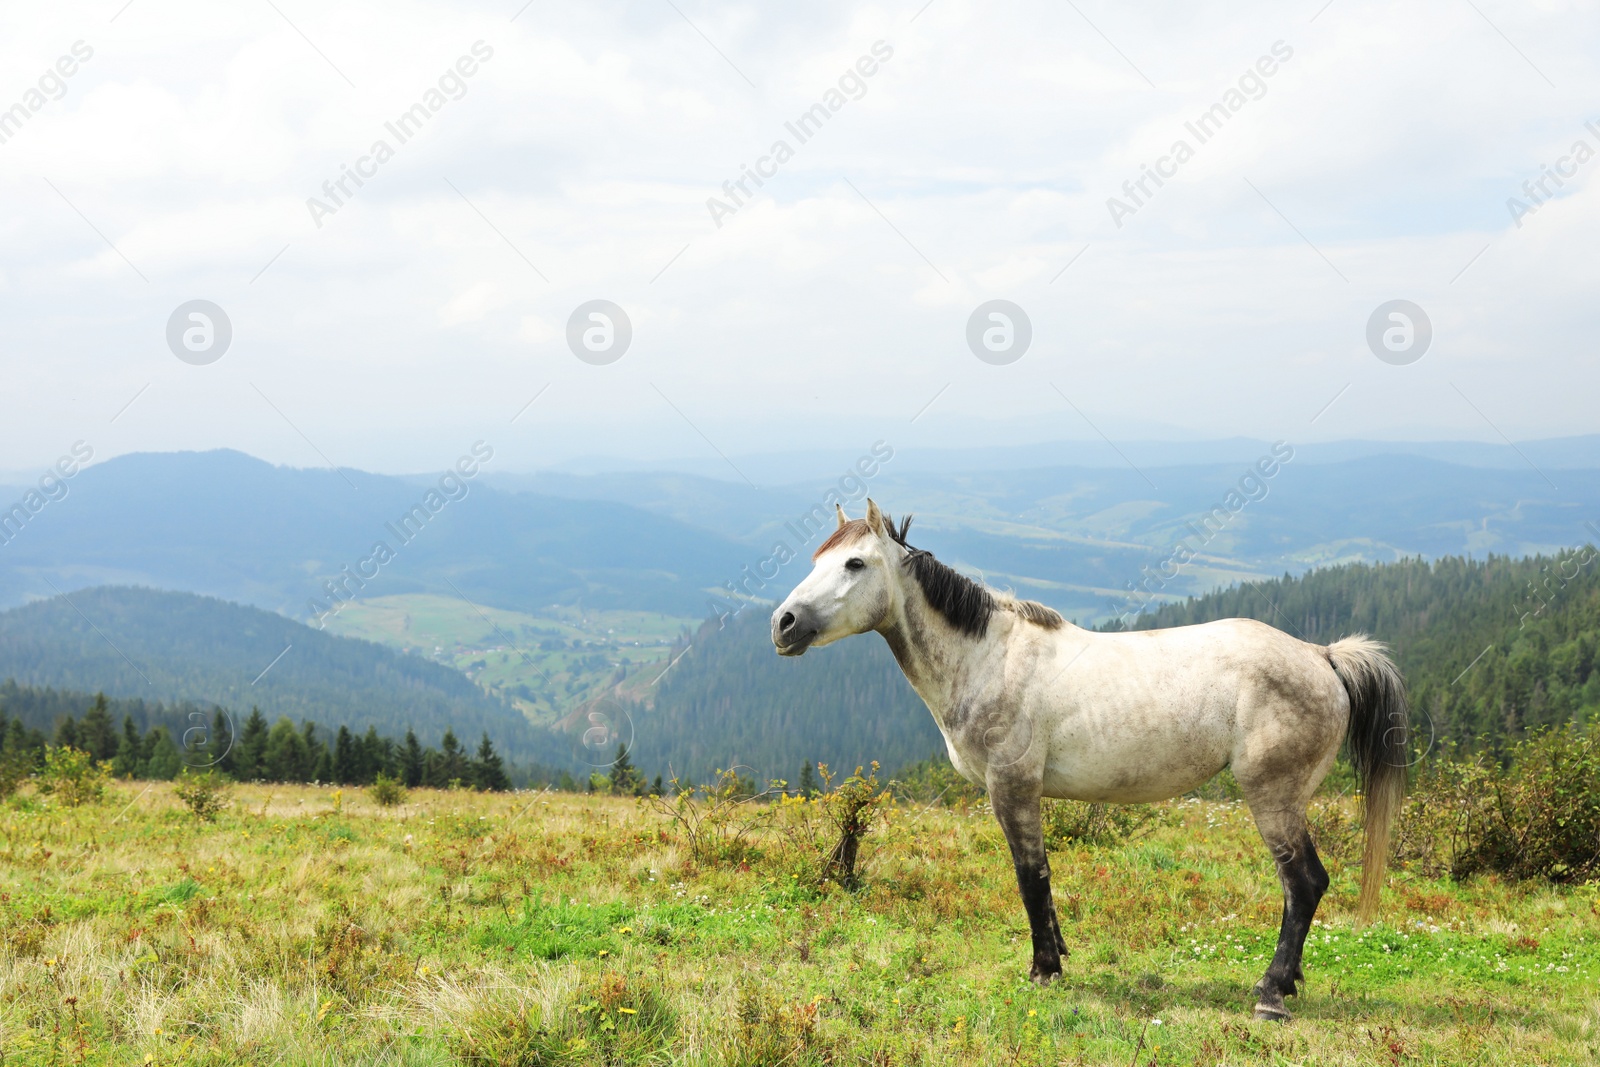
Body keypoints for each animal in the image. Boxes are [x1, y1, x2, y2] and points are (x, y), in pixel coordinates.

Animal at [774, 505, 1414, 1023]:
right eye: (818, 558)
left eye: (855, 563)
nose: (783, 624)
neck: (987, 657)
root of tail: (1322, 656)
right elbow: (1042, 880)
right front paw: (1057, 955)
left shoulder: (1012, 787)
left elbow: (1031, 876)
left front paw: (1043, 971)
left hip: (1273, 796)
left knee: (1304, 883)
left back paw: (1271, 993)